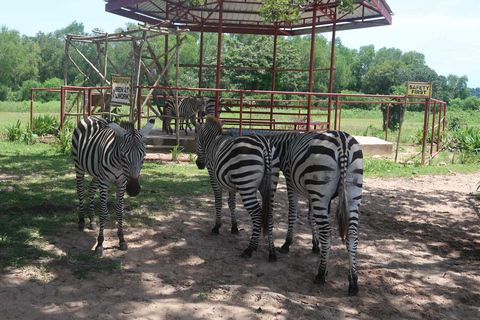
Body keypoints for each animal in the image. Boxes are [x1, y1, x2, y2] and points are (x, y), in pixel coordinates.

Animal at [72, 116, 155, 256]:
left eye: (143, 156)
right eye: (123, 156)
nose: (134, 190)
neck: (118, 164)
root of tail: (90, 116)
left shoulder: (121, 183)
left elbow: (119, 211)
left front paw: (122, 240)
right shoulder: (104, 181)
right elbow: (103, 212)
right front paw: (99, 244)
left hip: (96, 173)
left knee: (91, 189)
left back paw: (92, 220)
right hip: (78, 165)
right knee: (81, 191)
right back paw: (82, 220)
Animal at [194, 116, 280, 262]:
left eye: (197, 137)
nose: (199, 164)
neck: (213, 141)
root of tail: (264, 145)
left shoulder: (213, 177)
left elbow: (218, 202)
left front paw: (217, 227)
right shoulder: (232, 185)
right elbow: (231, 203)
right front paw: (234, 227)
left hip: (246, 185)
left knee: (257, 214)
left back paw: (249, 249)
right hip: (270, 186)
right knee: (270, 215)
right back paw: (272, 252)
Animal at [262, 130, 364, 296]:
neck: (286, 146)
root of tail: (342, 141)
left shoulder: (291, 182)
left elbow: (293, 214)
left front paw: (287, 244)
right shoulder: (313, 195)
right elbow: (312, 218)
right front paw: (316, 246)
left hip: (320, 187)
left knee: (327, 232)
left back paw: (321, 274)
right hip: (351, 193)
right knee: (352, 234)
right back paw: (353, 282)